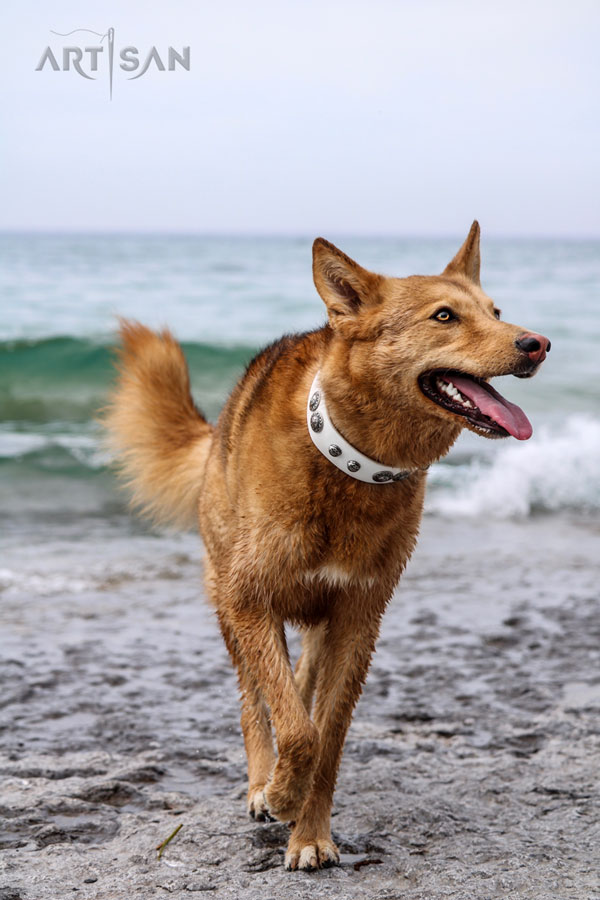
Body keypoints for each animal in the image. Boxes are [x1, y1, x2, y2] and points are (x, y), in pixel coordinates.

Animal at [103, 221, 548, 868]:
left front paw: (310, 831)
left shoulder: (358, 621)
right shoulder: (251, 600)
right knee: (254, 699)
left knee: (300, 684)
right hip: (227, 602)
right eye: (444, 316)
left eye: (496, 311)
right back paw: (261, 780)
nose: (537, 344)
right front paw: (281, 794)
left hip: (315, 623)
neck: (350, 465)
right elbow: (294, 727)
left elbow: (326, 734)